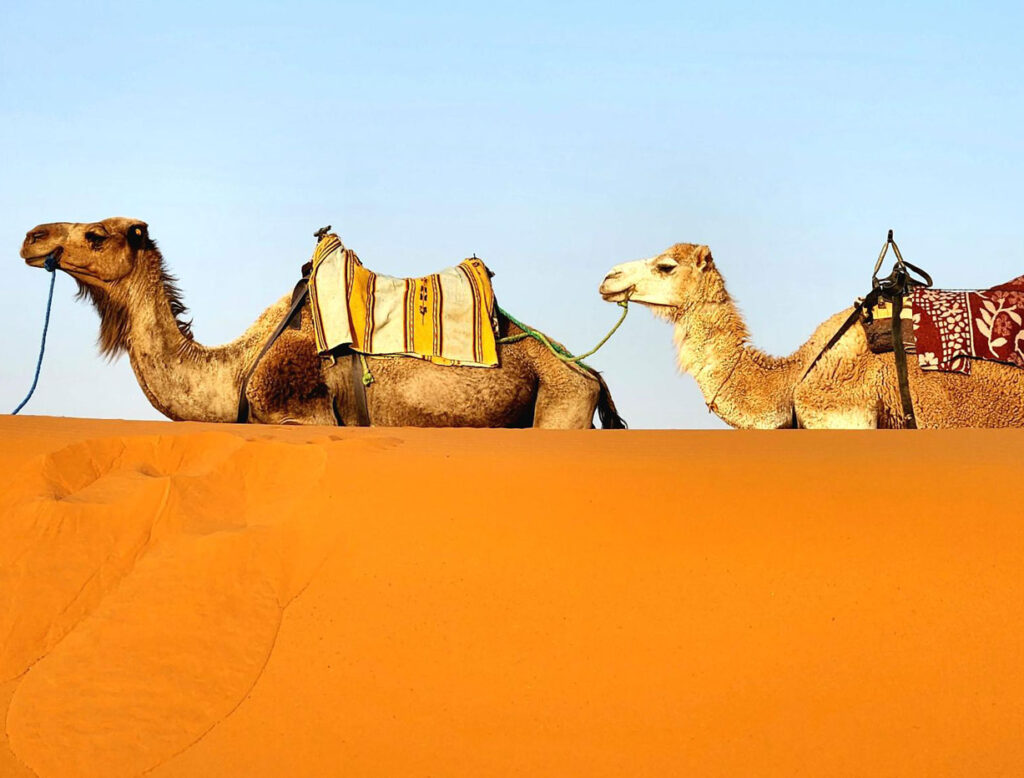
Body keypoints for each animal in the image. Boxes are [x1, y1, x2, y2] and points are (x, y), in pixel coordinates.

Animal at [20, 218, 625, 428]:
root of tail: (592, 374)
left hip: (560, 404)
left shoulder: (301, 416)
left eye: (96, 234)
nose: (32, 237)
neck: (237, 370)